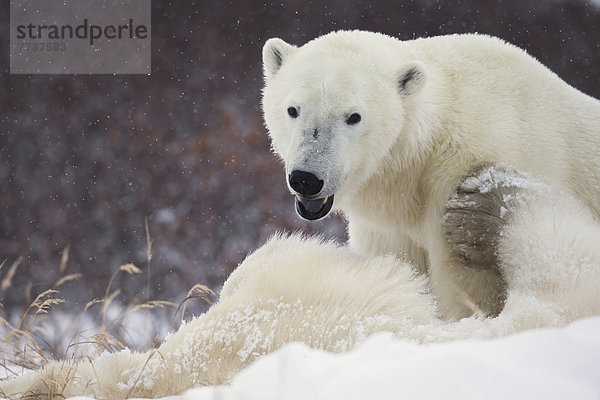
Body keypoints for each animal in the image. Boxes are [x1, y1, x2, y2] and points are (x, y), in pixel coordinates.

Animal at [262, 30, 600, 318]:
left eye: (353, 116)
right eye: (293, 109)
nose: (307, 178)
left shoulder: (457, 180)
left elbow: (467, 288)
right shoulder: (388, 227)